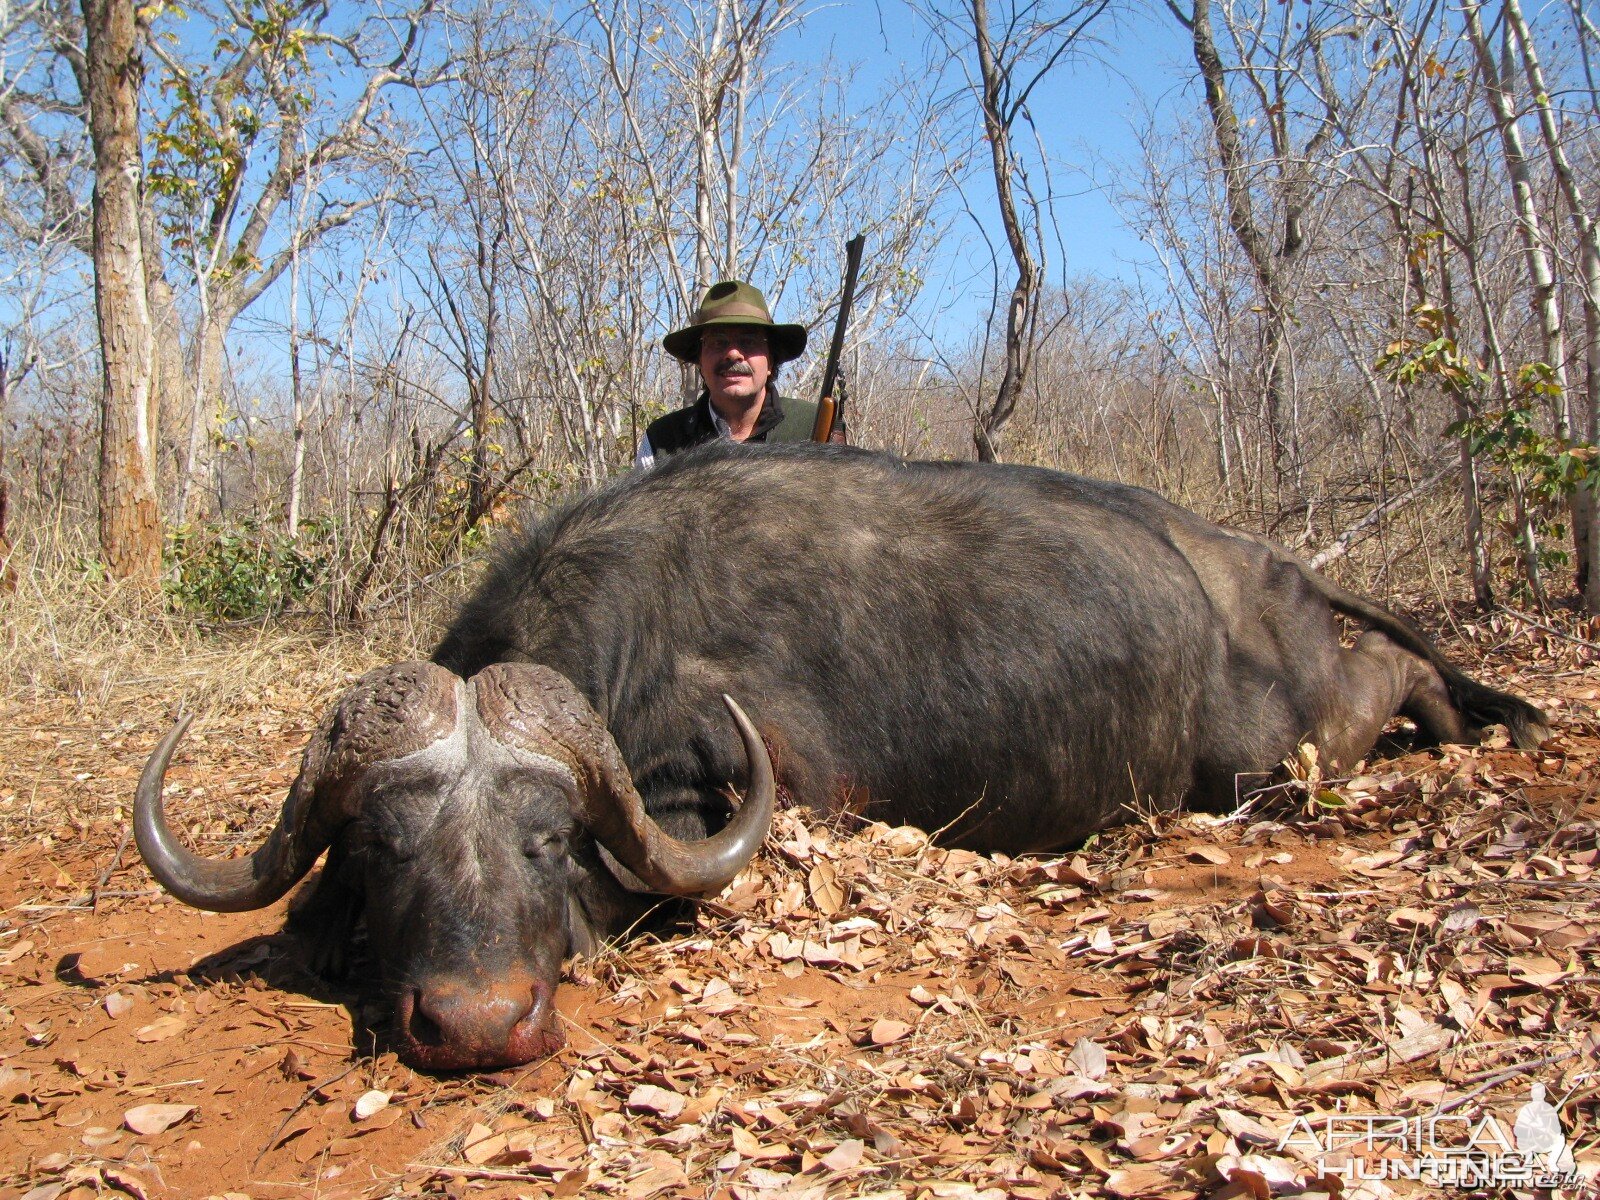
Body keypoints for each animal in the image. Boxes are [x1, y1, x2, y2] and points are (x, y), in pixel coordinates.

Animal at [137, 441, 1548, 1068]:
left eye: (543, 842)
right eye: (384, 849)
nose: (478, 1024)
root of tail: (1253, 567)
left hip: (1278, 754)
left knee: (1399, 681)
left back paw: (1479, 721)